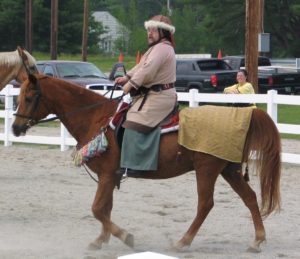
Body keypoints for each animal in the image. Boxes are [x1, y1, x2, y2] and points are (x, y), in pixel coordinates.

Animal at [11, 73, 278, 254]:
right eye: (20, 96)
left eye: (30, 97)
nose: (14, 127)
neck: (96, 117)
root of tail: (242, 115)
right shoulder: (110, 177)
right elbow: (105, 208)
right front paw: (101, 239)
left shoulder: (106, 175)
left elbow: (97, 209)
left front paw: (125, 236)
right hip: (229, 170)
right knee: (250, 197)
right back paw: (257, 240)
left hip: (207, 170)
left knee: (205, 205)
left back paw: (183, 241)